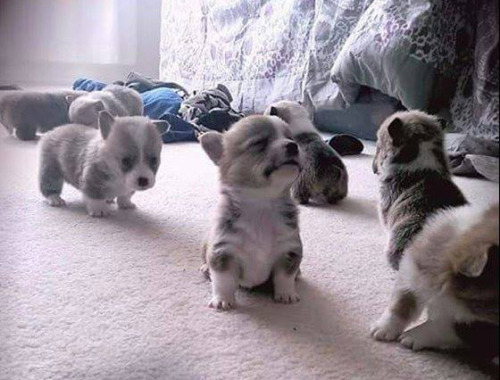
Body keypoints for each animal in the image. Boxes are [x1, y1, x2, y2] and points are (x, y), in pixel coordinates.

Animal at [39, 110, 167, 217]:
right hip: (51, 170)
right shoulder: (92, 181)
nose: (143, 180)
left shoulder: (128, 188)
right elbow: (95, 197)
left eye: (154, 160)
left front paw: (125, 203)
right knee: (49, 185)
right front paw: (99, 210)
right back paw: (55, 199)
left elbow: (125, 195)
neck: (118, 176)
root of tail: (53, 131)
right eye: (125, 161)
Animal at [200, 116, 304, 312]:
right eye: (260, 142)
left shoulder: (289, 250)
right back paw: (204, 268)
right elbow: (223, 280)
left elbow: (284, 277)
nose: (293, 146)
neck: (261, 203)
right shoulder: (223, 251)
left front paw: (286, 294)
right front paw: (223, 299)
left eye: (291, 137)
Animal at [372, 203, 500, 360]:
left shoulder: (483, 328)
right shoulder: (413, 270)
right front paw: (383, 328)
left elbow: (447, 327)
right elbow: (402, 302)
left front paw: (413, 336)